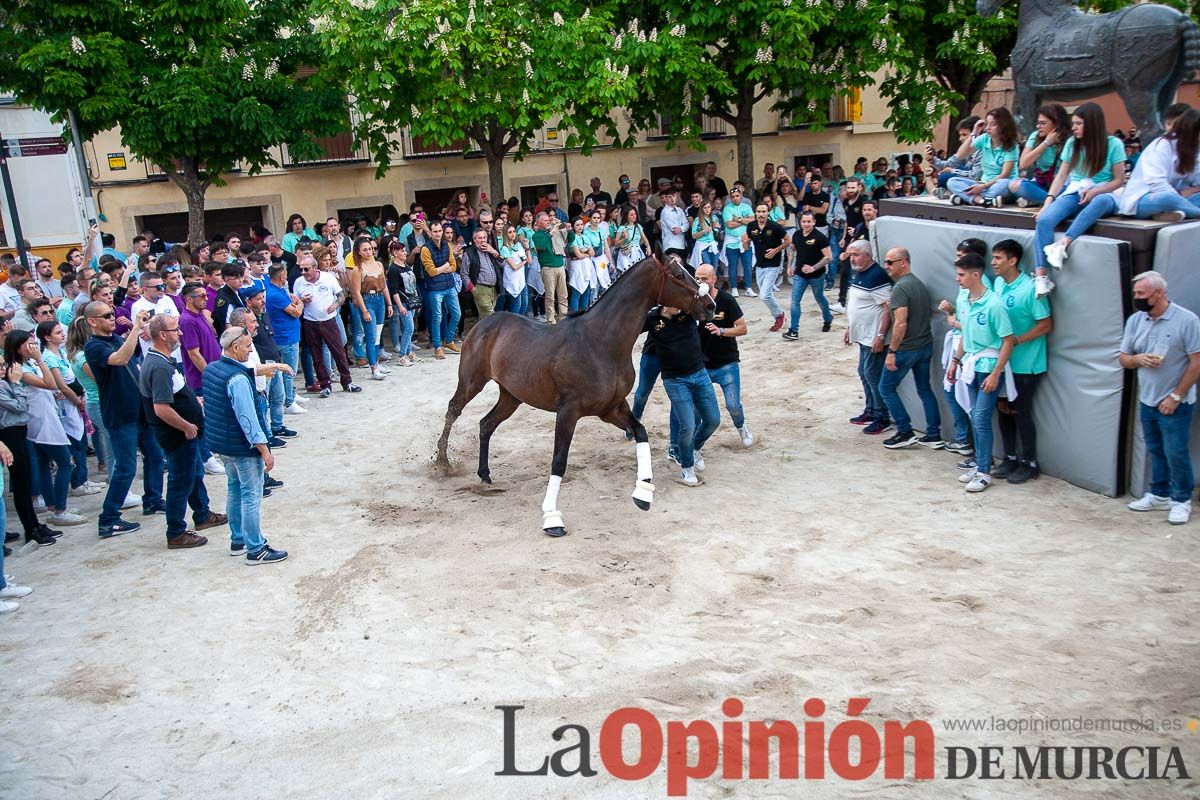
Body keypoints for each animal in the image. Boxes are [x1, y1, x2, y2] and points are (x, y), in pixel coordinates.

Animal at [434, 257, 705, 537]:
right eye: (678, 276)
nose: (710, 305)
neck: (599, 343)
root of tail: (484, 323)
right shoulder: (568, 412)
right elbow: (559, 462)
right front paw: (552, 519)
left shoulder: (611, 409)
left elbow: (641, 432)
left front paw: (643, 495)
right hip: (471, 382)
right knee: (453, 410)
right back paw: (443, 462)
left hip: (511, 396)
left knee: (486, 424)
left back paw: (485, 474)